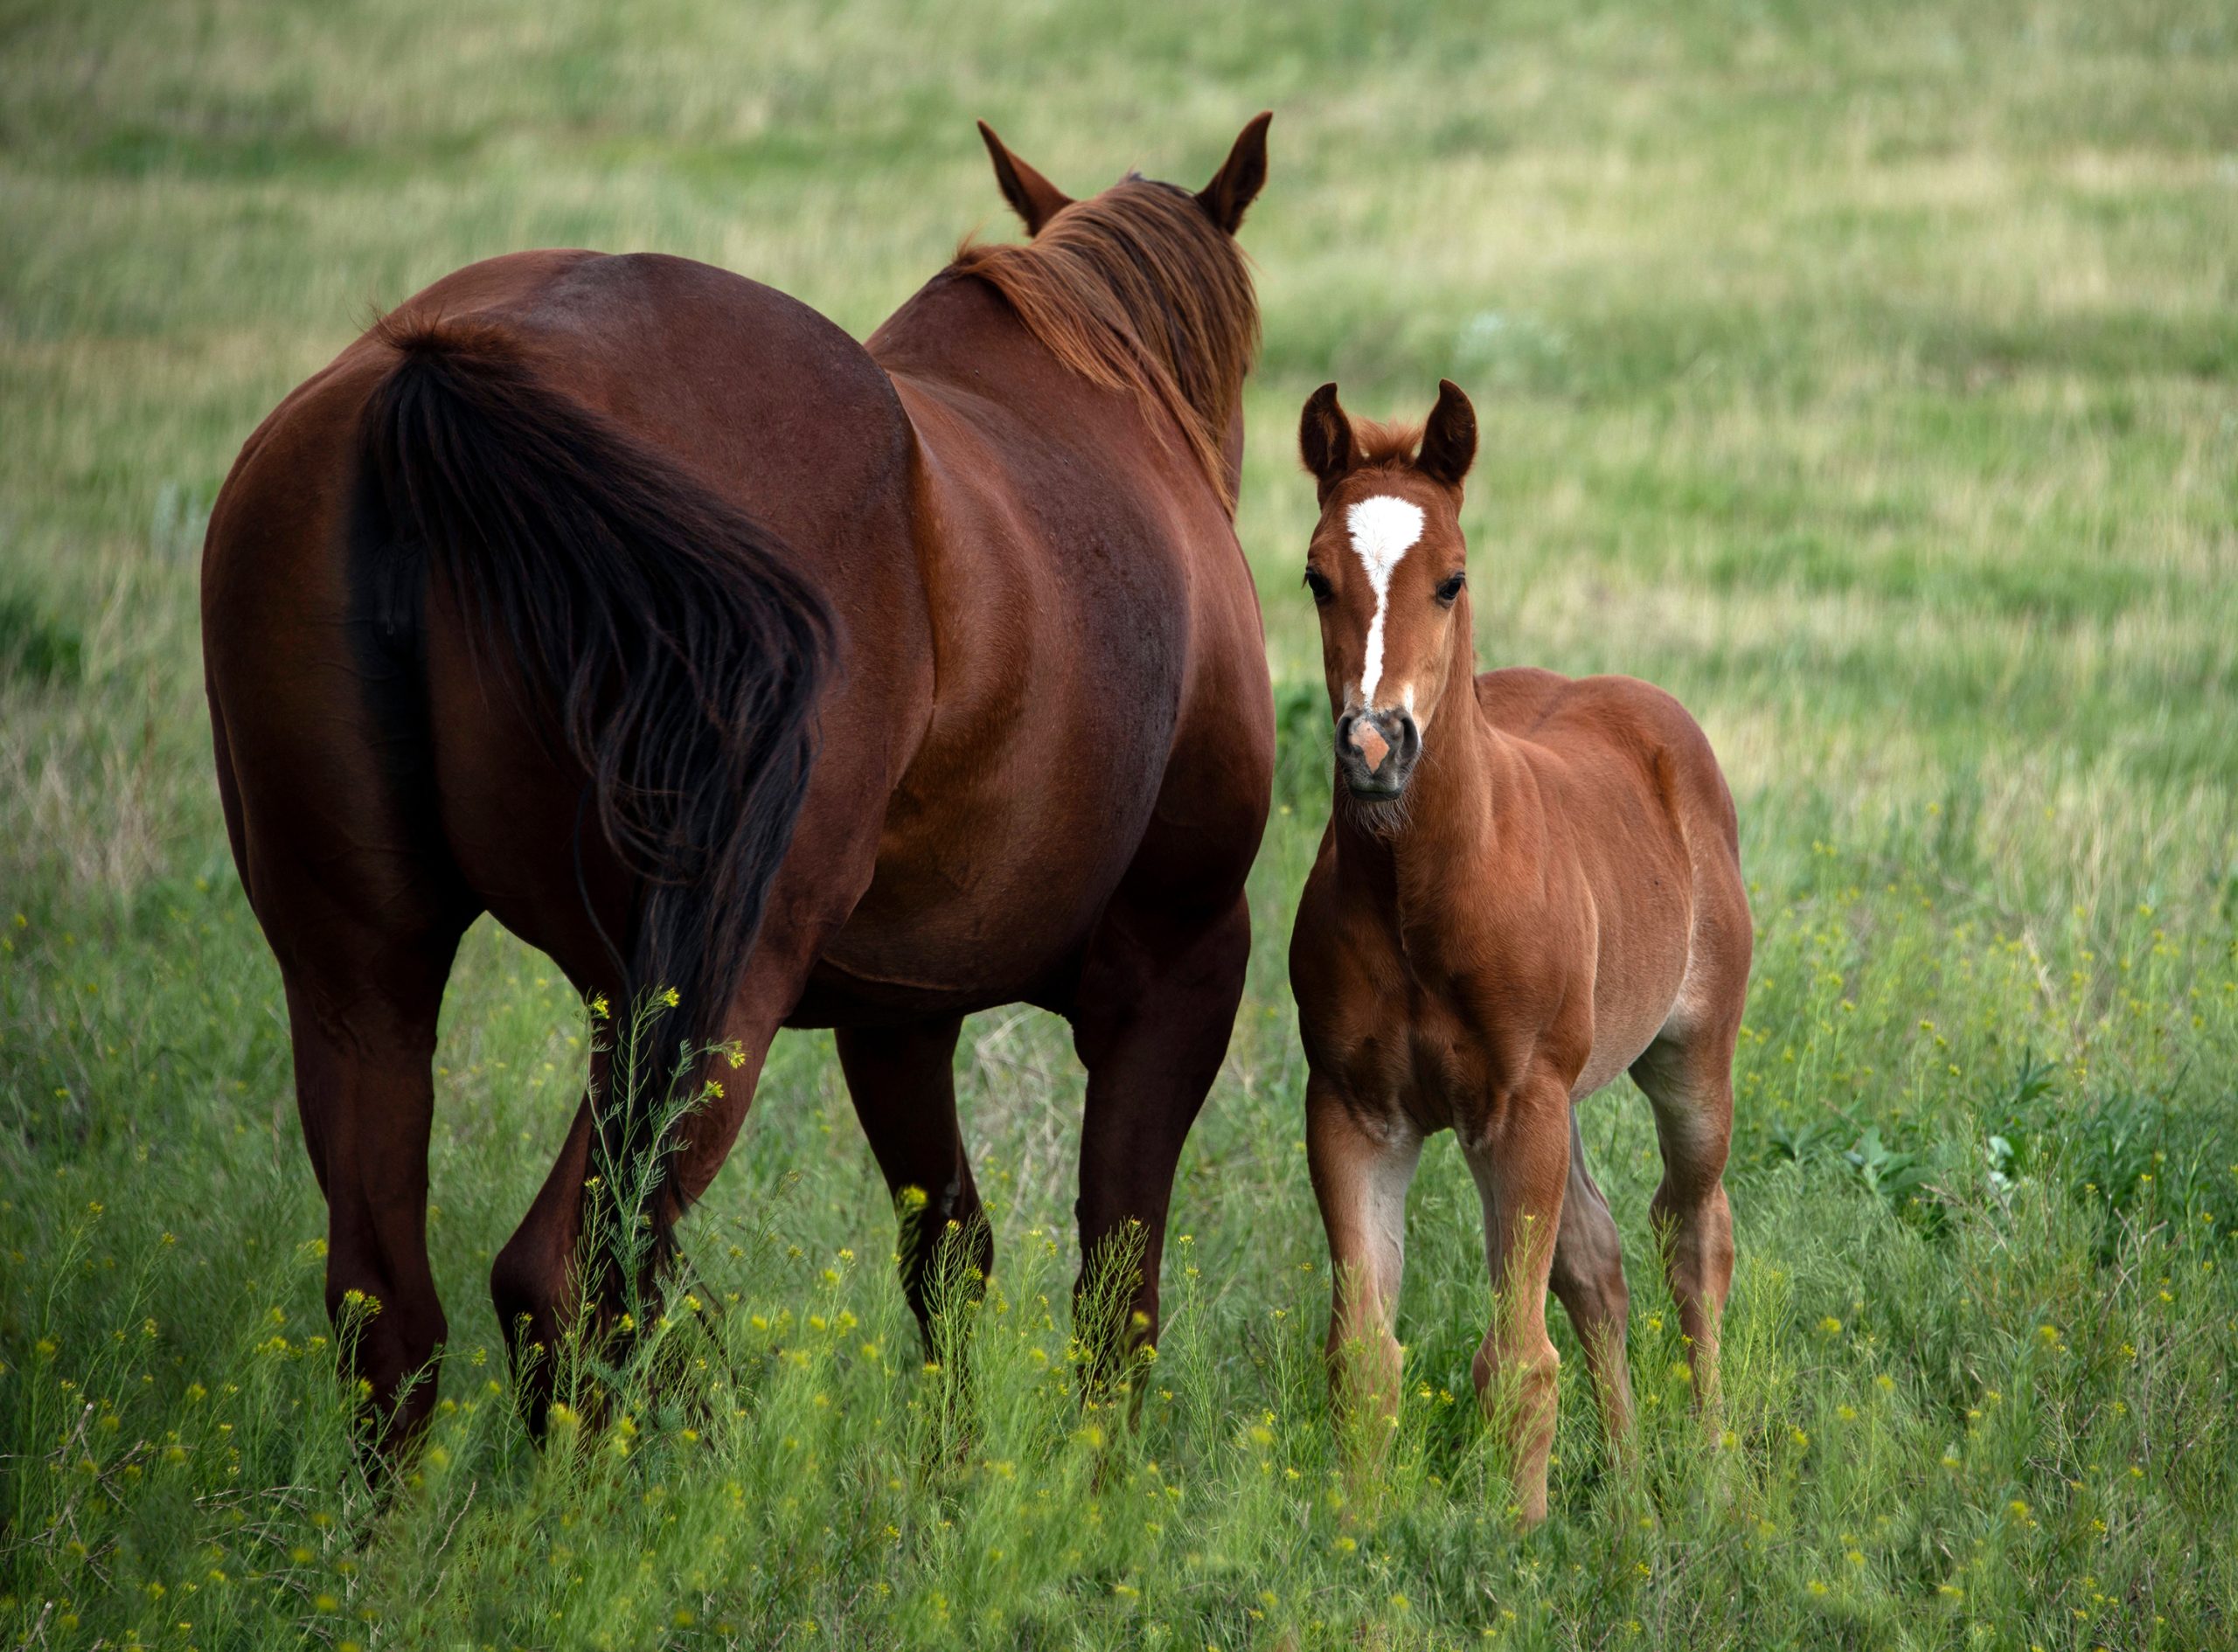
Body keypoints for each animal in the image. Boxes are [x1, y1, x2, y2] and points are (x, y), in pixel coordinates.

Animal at [200, 113, 1276, 1451]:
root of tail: (432, 374)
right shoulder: (1178, 967)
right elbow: (1117, 1283)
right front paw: (1093, 1480)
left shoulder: (897, 1017)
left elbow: (949, 1254)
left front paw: (956, 1470)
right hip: (707, 996)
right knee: (564, 1279)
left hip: (366, 979)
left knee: (390, 1314)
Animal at [1285, 380, 1750, 1523]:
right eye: (1316, 576)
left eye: (1450, 579)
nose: (1374, 745)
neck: (1423, 898)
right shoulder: (1353, 1112)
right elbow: (1364, 1357)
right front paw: (1357, 1536)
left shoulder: (1516, 1107)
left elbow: (1516, 1360)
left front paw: (1517, 1538)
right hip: (1568, 1099)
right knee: (1598, 1261)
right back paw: (1626, 1486)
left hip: (1688, 1063)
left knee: (1693, 1236)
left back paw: (1711, 1471)